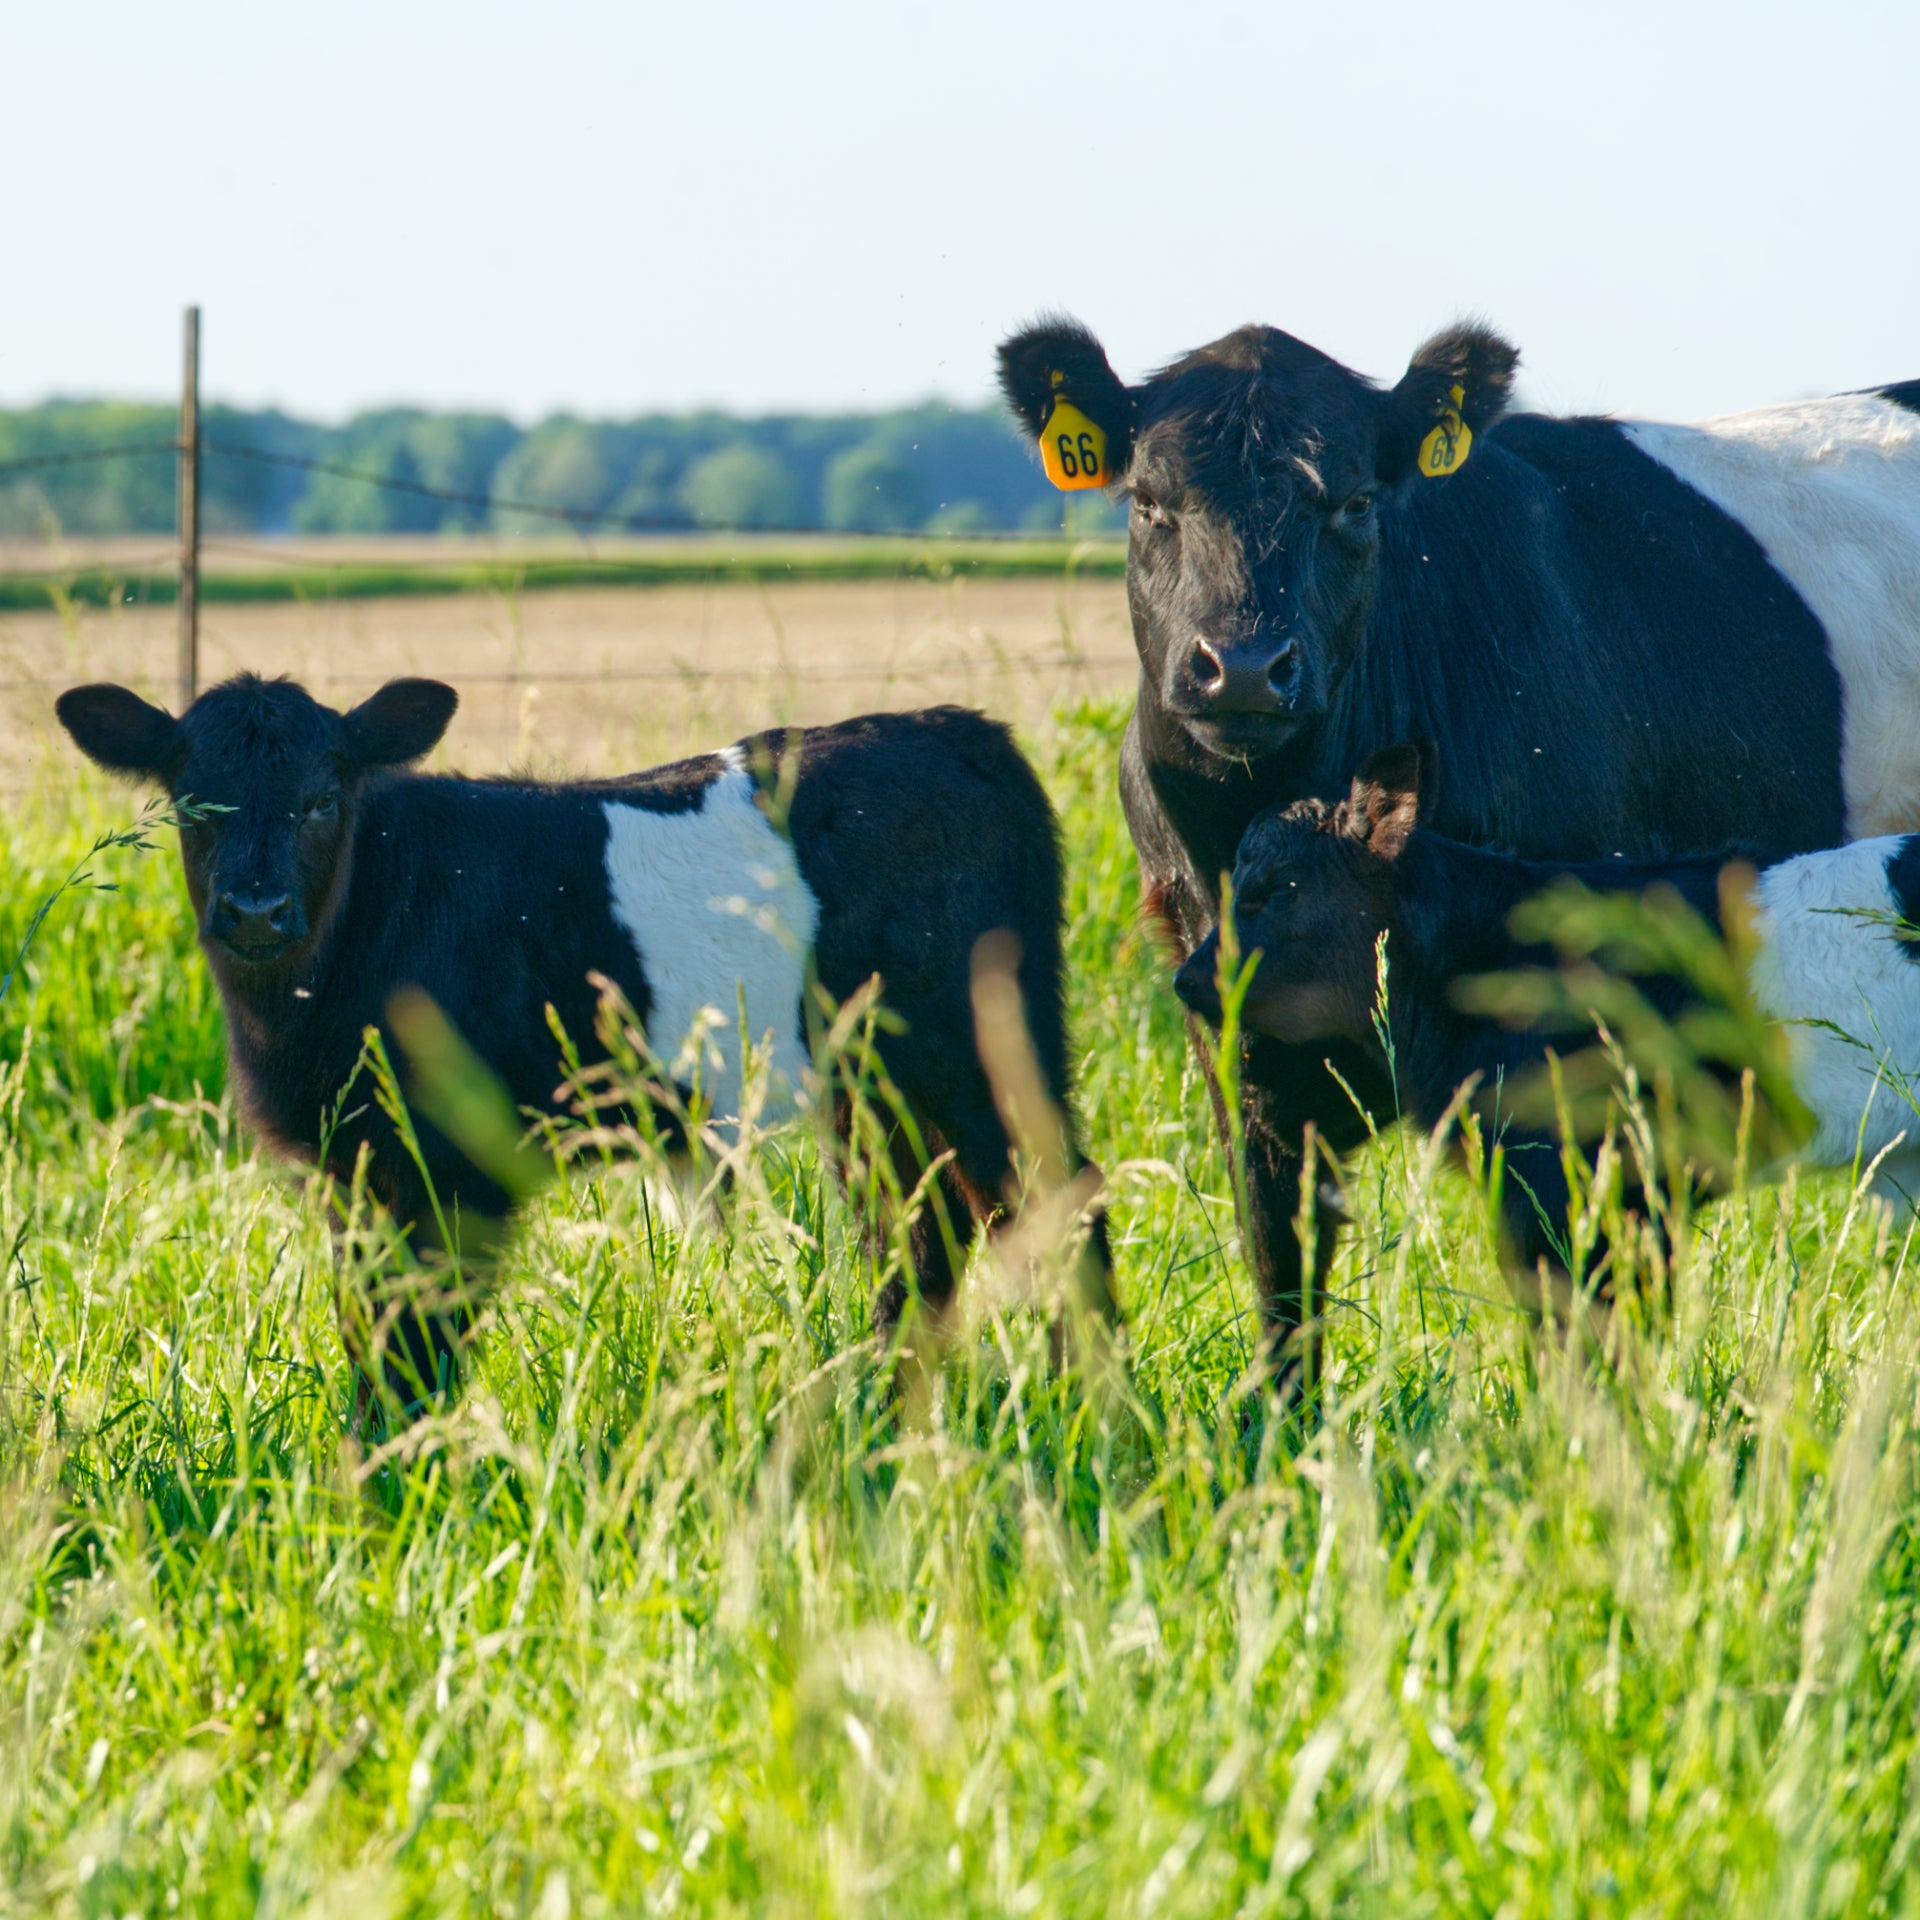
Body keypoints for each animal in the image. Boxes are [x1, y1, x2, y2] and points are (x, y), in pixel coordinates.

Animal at [56, 675, 1113, 1413]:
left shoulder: (453, 1169)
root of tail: (957, 728)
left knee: (1057, 1199)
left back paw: (1096, 1412)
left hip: (977, 1051)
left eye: (323, 799)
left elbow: (421, 1346)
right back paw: (895, 1412)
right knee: (918, 1232)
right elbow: (373, 1331)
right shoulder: (354, 1170)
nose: (256, 909)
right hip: (870, 1088)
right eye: (191, 801)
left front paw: (400, 1483)